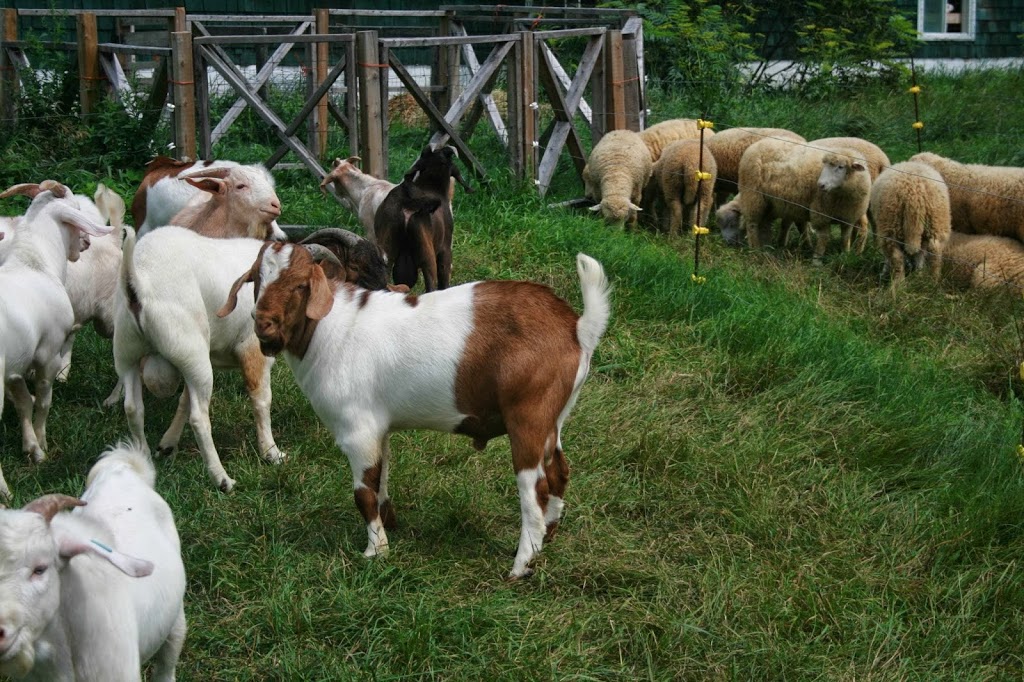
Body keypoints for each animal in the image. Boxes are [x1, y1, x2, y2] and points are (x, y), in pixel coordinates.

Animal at [0, 183, 112, 497]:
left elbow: (24, 404)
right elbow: (43, 402)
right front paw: (43, 444)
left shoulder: (16, 367)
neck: (34, 263)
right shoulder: (47, 355)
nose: (85, 243)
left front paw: (31, 448)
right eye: (75, 210)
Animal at [217, 244, 610, 573]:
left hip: (528, 417)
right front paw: (390, 524)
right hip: (553, 419)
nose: (263, 324)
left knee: (534, 489)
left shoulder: (357, 431)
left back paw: (522, 565)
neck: (333, 330)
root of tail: (577, 329)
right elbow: (382, 479)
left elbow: (363, 493)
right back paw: (549, 537)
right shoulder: (379, 429)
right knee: (559, 471)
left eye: (301, 285)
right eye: (257, 279)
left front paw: (376, 552)